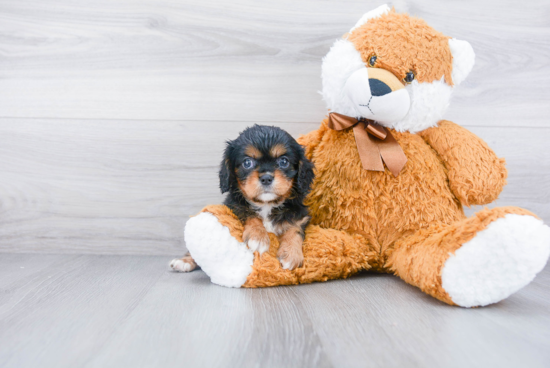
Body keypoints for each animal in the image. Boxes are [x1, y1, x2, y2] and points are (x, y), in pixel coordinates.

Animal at [170, 125, 314, 272]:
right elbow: (249, 213)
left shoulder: (298, 213)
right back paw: (184, 261)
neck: (266, 204)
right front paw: (258, 237)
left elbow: (295, 229)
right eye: (247, 162)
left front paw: (291, 254)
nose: (266, 178)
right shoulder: (234, 206)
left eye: (284, 161)